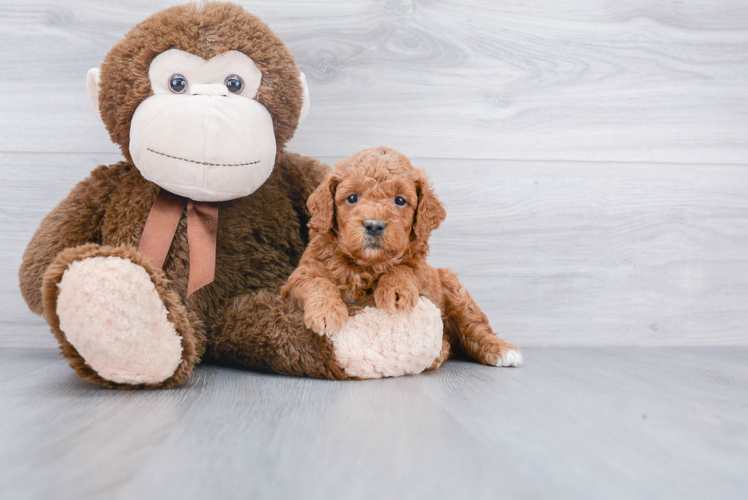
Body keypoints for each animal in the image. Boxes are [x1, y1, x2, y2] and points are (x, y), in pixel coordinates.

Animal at [284, 146, 524, 370]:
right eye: (352, 198)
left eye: (400, 200)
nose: (374, 225)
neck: (366, 266)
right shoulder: (299, 276)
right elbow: (317, 282)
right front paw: (327, 313)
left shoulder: (422, 270)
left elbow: (404, 268)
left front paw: (396, 291)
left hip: (454, 290)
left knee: (474, 327)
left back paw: (501, 350)